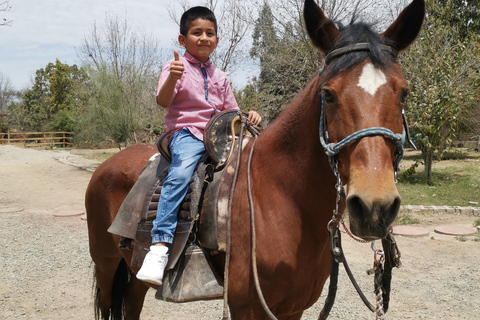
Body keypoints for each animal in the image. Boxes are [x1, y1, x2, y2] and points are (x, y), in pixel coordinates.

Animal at [85, 1, 424, 318]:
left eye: (404, 93)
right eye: (328, 94)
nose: (374, 207)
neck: (283, 198)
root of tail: (108, 164)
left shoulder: (293, 309)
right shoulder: (246, 308)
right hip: (105, 262)